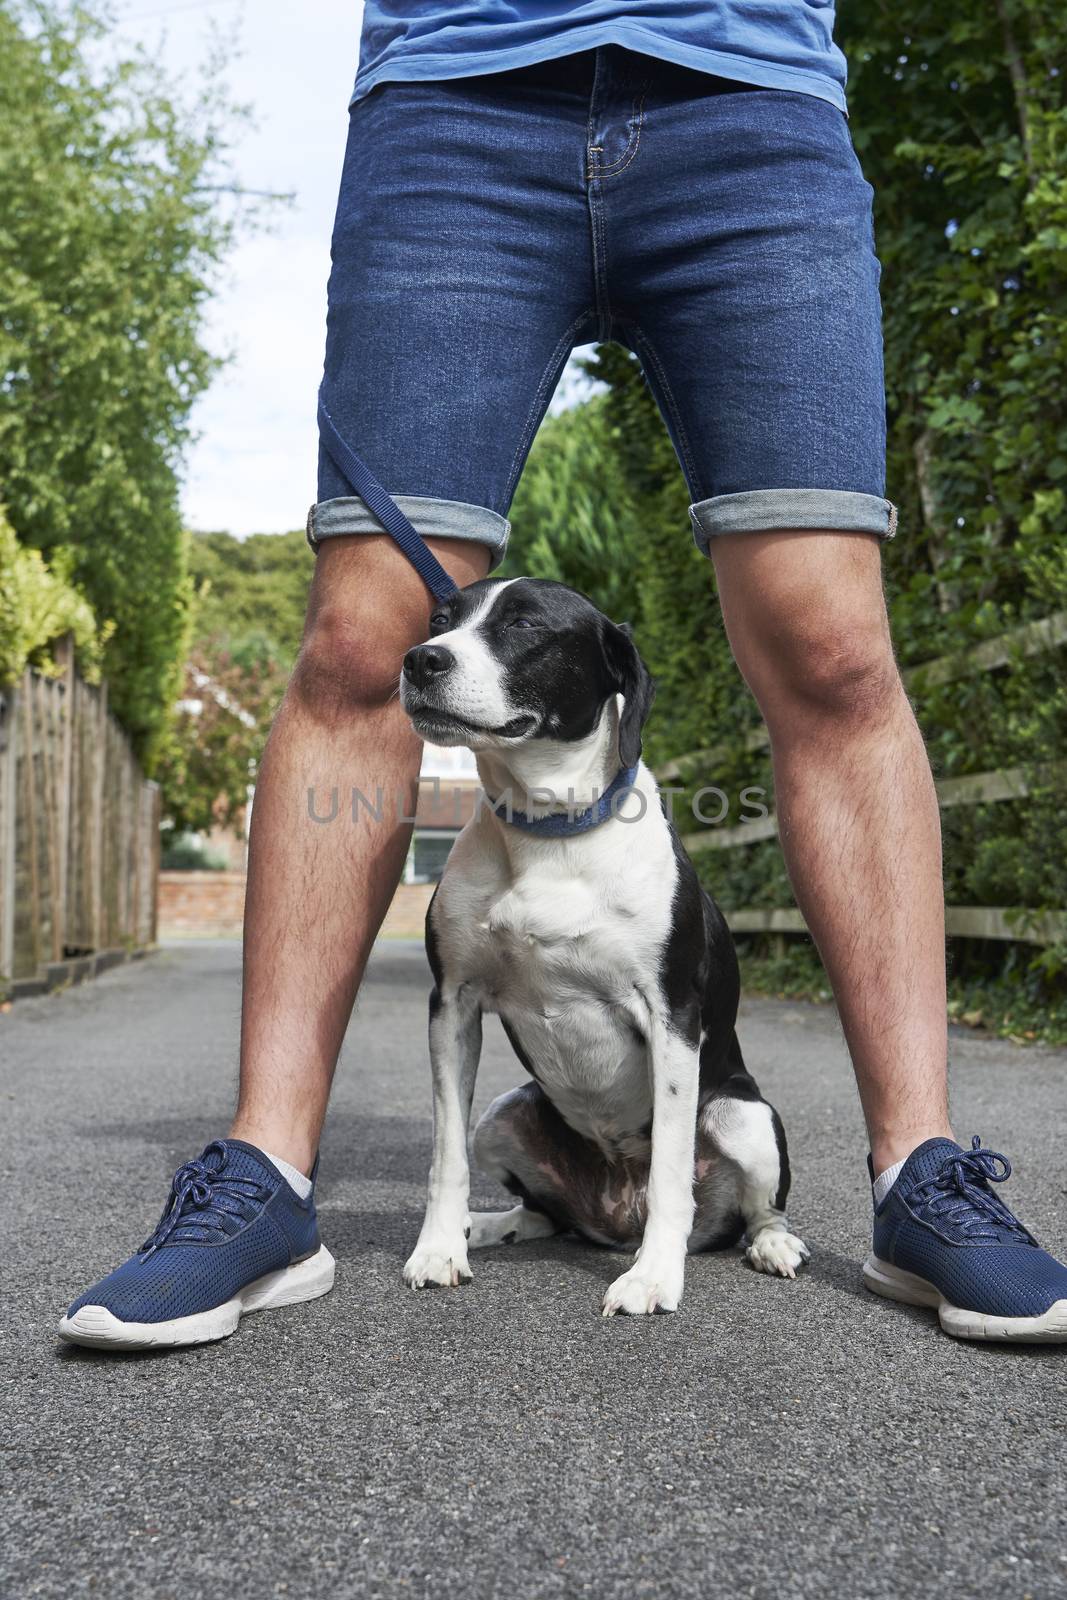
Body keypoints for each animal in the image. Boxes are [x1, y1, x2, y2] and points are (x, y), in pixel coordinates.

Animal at [399, 576, 809, 1312]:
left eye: (526, 625)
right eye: (440, 620)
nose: (421, 660)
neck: (549, 831)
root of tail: (615, 1214)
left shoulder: (671, 1017)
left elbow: (671, 1167)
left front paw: (653, 1278)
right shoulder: (452, 1007)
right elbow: (446, 1155)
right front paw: (440, 1249)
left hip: (745, 1116)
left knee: (757, 1210)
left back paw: (769, 1245)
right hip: (505, 1115)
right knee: (543, 1213)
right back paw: (486, 1225)